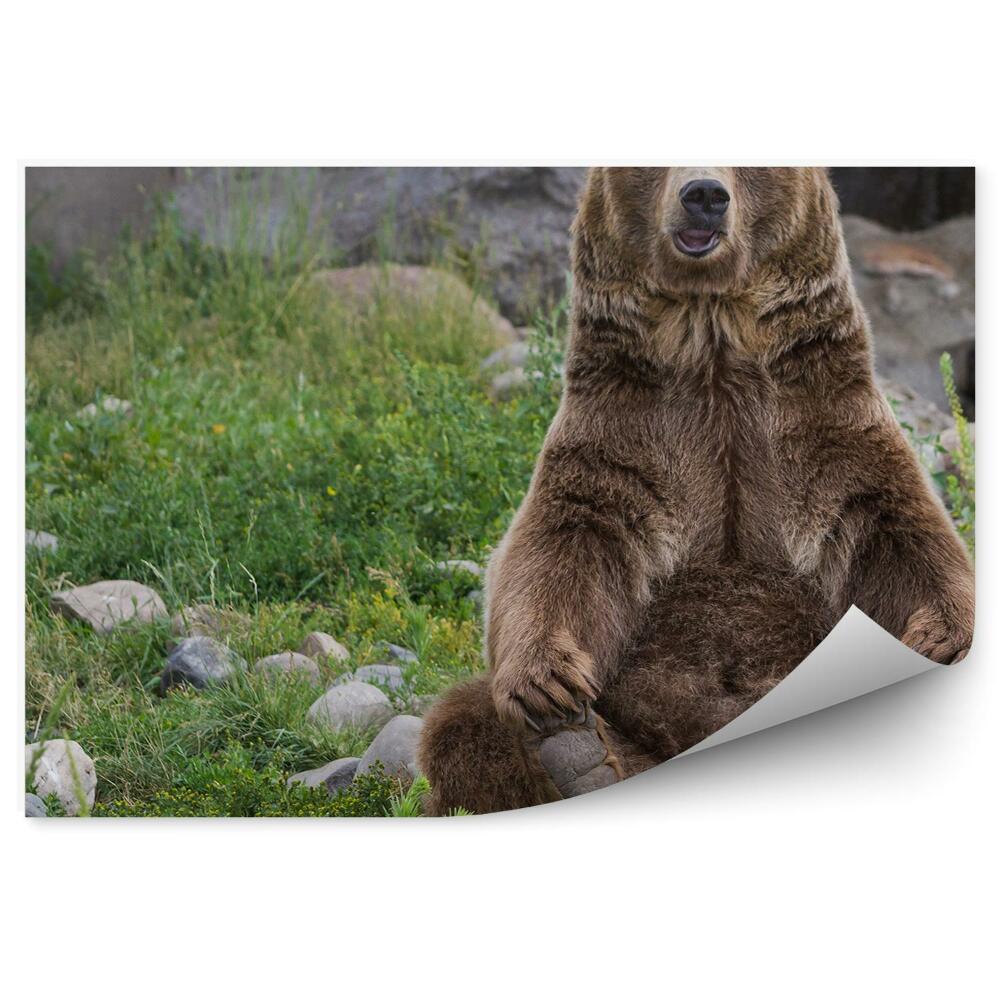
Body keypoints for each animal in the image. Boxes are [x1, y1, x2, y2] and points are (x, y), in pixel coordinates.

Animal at [417, 167, 975, 816]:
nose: (704, 194)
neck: (714, 346)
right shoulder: (622, 439)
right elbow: (560, 547)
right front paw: (546, 685)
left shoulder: (826, 431)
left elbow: (902, 534)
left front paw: (939, 638)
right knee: (461, 722)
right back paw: (578, 756)